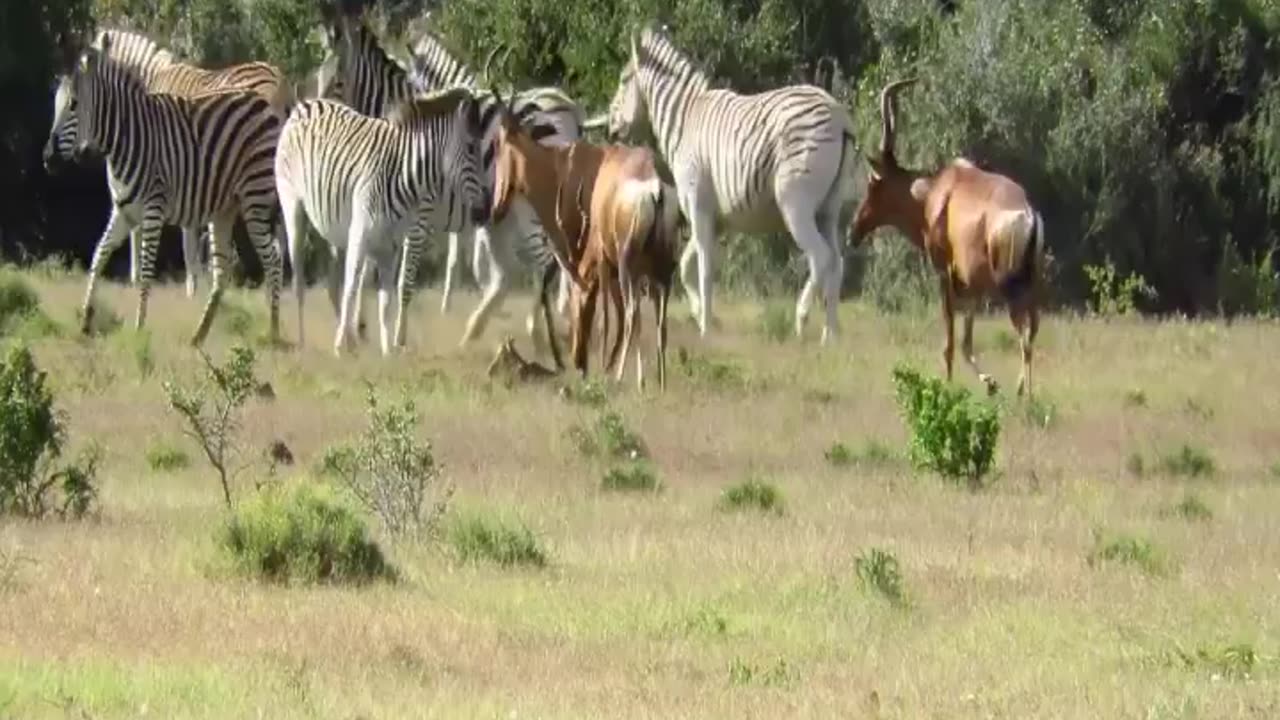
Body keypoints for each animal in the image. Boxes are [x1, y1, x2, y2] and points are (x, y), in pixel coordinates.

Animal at [45, 34, 288, 345]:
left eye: (74, 104)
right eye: (56, 104)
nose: (48, 158)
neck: (125, 138)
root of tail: (265, 100)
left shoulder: (154, 208)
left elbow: (149, 266)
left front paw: (139, 327)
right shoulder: (123, 211)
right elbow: (99, 254)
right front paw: (86, 319)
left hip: (254, 197)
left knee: (273, 260)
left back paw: (273, 331)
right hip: (225, 209)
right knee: (223, 271)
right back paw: (199, 334)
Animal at [275, 89, 488, 356]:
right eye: (471, 148)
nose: (483, 211)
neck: (405, 175)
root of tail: (306, 103)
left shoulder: (391, 245)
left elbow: (386, 298)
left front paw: (387, 351)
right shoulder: (360, 234)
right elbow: (352, 287)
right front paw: (339, 347)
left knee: (331, 277)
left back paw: (349, 337)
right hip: (293, 206)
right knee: (299, 279)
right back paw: (305, 342)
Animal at [320, 11, 586, 356]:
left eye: (337, 82)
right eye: (317, 76)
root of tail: (565, 108)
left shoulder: (418, 216)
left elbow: (405, 279)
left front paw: (397, 339)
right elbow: (366, 269)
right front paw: (358, 331)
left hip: (529, 211)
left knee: (545, 266)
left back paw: (543, 333)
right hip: (506, 218)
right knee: (513, 271)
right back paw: (479, 332)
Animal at [588, 23, 860, 343]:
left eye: (623, 80)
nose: (610, 130)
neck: (684, 123)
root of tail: (839, 115)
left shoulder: (699, 208)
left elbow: (704, 269)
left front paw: (705, 328)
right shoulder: (713, 219)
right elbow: (686, 267)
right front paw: (699, 314)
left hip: (795, 204)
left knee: (820, 257)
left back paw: (802, 319)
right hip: (828, 208)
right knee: (836, 263)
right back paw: (830, 336)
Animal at [844, 80, 1044, 394]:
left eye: (873, 183)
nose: (853, 232)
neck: (939, 192)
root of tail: (1029, 215)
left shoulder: (945, 273)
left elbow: (949, 340)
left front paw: (948, 387)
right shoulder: (973, 284)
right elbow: (965, 342)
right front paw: (990, 383)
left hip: (1010, 287)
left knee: (1023, 335)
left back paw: (1026, 395)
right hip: (1031, 284)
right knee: (1033, 328)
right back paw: (1019, 388)